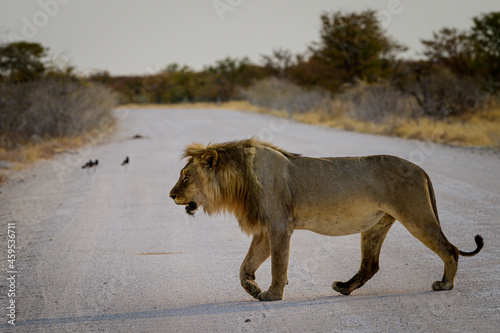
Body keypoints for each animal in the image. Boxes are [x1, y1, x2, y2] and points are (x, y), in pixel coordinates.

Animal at [170, 137, 482, 300]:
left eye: (186, 177)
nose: (171, 195)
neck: (240, 179)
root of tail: (420, 168)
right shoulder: (265, 229)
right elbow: (244, 266)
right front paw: (253, 288)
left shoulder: (280, 226)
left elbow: (278, 264)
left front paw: (273, 293)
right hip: (377, 225)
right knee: (370, 265)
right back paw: (343, 288)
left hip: (416, 215)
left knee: (450, 249)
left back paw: (445, 284)